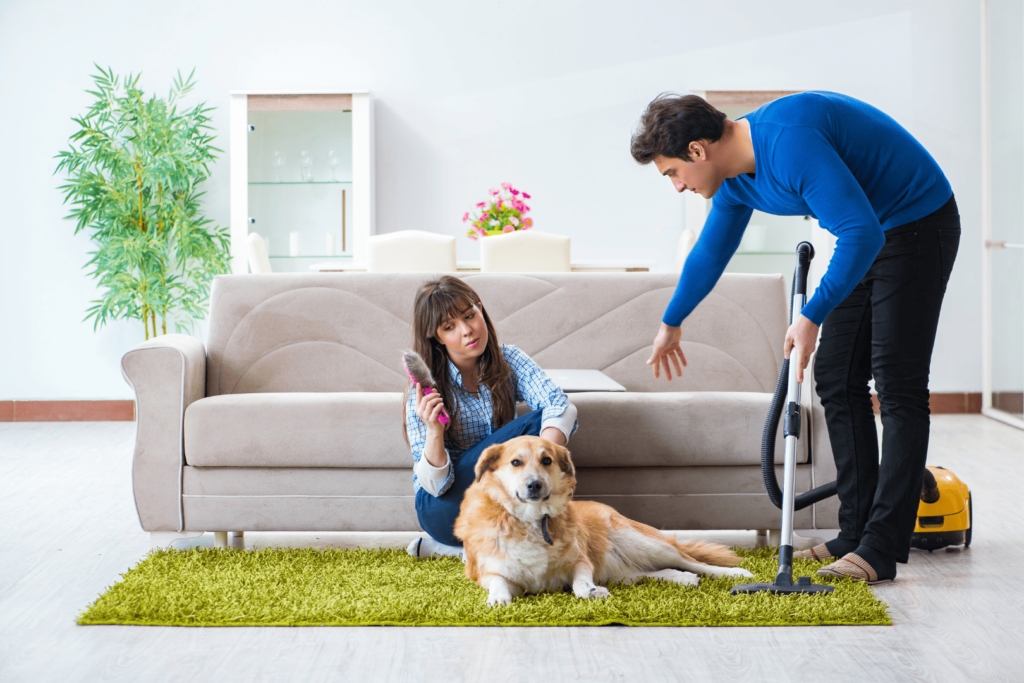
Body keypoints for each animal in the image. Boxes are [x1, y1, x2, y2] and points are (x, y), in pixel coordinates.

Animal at [454, 436, 753, 606]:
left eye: (546, 460)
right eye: (515, 462)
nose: (535, 485)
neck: (533, 520)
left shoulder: (581, 562)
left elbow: (581, 581)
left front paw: (590, 591)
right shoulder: (490, 572)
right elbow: (498, 582)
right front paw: (498, 597)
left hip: (641, 542)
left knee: (690, 560)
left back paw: (734, 574)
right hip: (620, 572)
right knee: (649, 573)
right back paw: (681, 578)